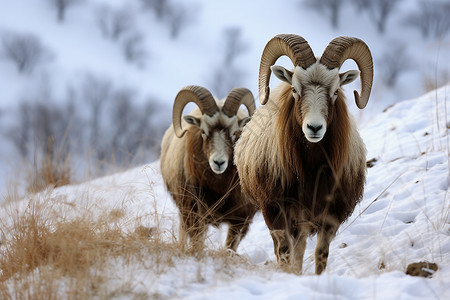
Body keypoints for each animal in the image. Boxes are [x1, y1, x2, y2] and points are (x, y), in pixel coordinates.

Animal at [161, 85, 256, 252]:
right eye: (203, 131)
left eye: (234, 132)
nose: (219, 162)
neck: (219, 187)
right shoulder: (194, 215)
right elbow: (197, 241)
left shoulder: (241, 219)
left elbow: (230, 247)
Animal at [236, 34, 372, 274]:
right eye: (295, 90)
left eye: (335, 92)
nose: (314, 128)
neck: (311, 172)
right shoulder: (277, 210)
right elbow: (285, 252)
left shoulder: (330, 216)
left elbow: (321, 254)